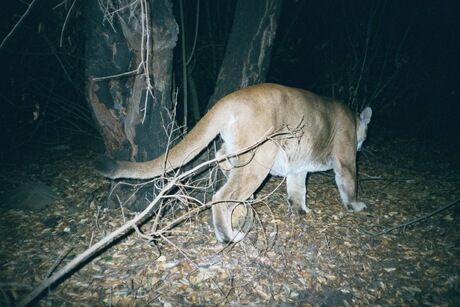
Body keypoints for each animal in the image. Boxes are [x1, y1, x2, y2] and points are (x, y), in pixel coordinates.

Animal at [93, 83, 370, 243]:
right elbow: (349, 181)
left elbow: (297, 189)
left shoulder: (298, 166)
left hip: (239, 150)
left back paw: (242, 207)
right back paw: (228, 235)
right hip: (260, 156)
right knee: (222, 194)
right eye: (362, 136)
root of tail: (232, 98)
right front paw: (355, 205)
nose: (361, 144)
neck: (353, 119)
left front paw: (300, 210)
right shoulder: (345, 158)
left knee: (223, 162)